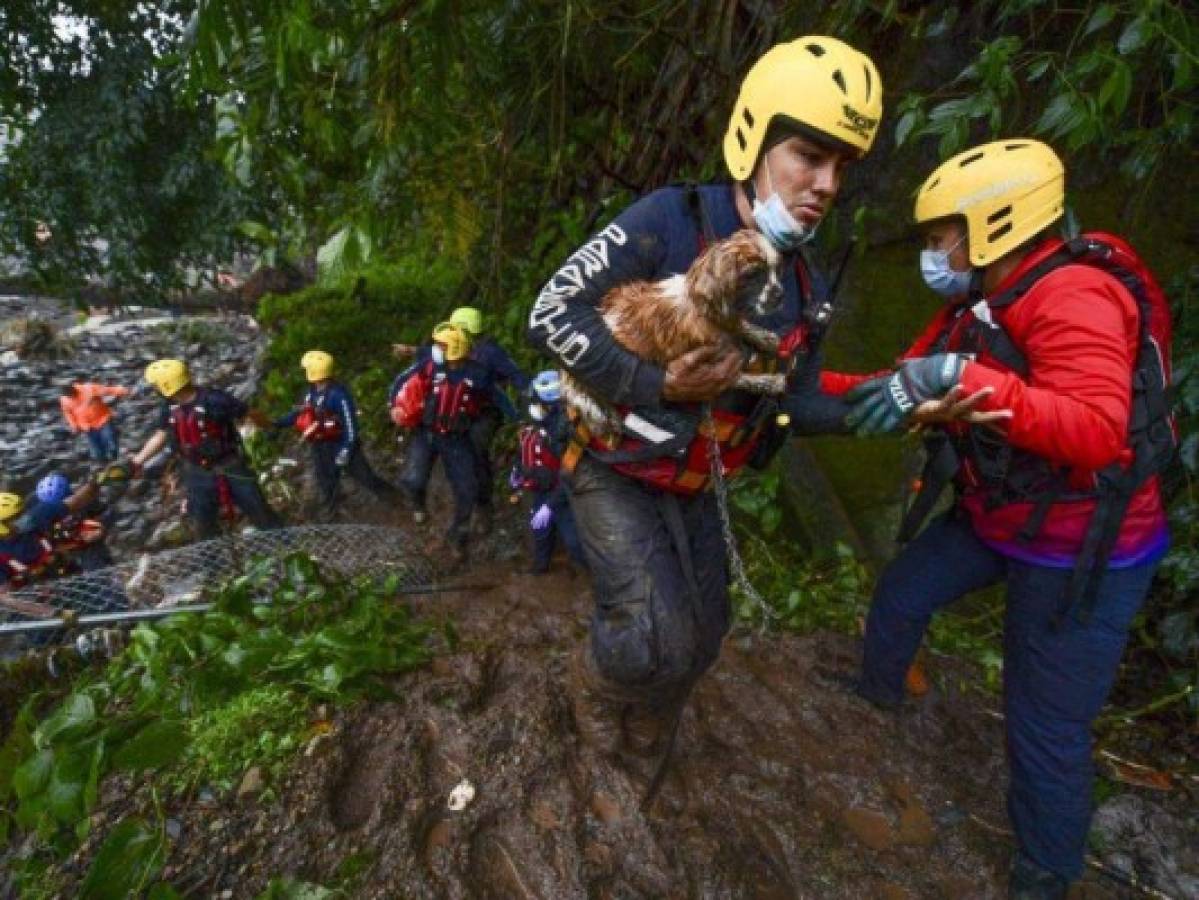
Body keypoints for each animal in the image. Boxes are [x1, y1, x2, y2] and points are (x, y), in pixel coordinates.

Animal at [561, 226, 786, 441]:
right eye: (753, 275)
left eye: (776, 270)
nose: (780, 294)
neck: (702, 309)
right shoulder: (713, 371)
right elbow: (742, 378)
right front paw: (770, 382)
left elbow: (742, 327)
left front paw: (764, 338)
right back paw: (607, 417)